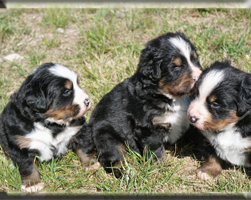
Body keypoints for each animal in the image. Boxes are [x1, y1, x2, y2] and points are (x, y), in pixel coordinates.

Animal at [0, 63, 98, 193]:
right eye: (66, 91)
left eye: (77, 84)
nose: (87, 101)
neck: (51, 124)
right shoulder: (22, 145)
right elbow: (28, 166)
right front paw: (32, 185)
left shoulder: (78, 130)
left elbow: (85, 148)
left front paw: (91, 164)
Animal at [88, 31, 202, 177]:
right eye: (176, 66)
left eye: (194, 59)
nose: (199, 76)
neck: (170, 98)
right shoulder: (147, 128)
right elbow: (155, 149)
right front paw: (159, 168)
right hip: (105, 135)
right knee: (111, 158)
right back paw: (127, 173)